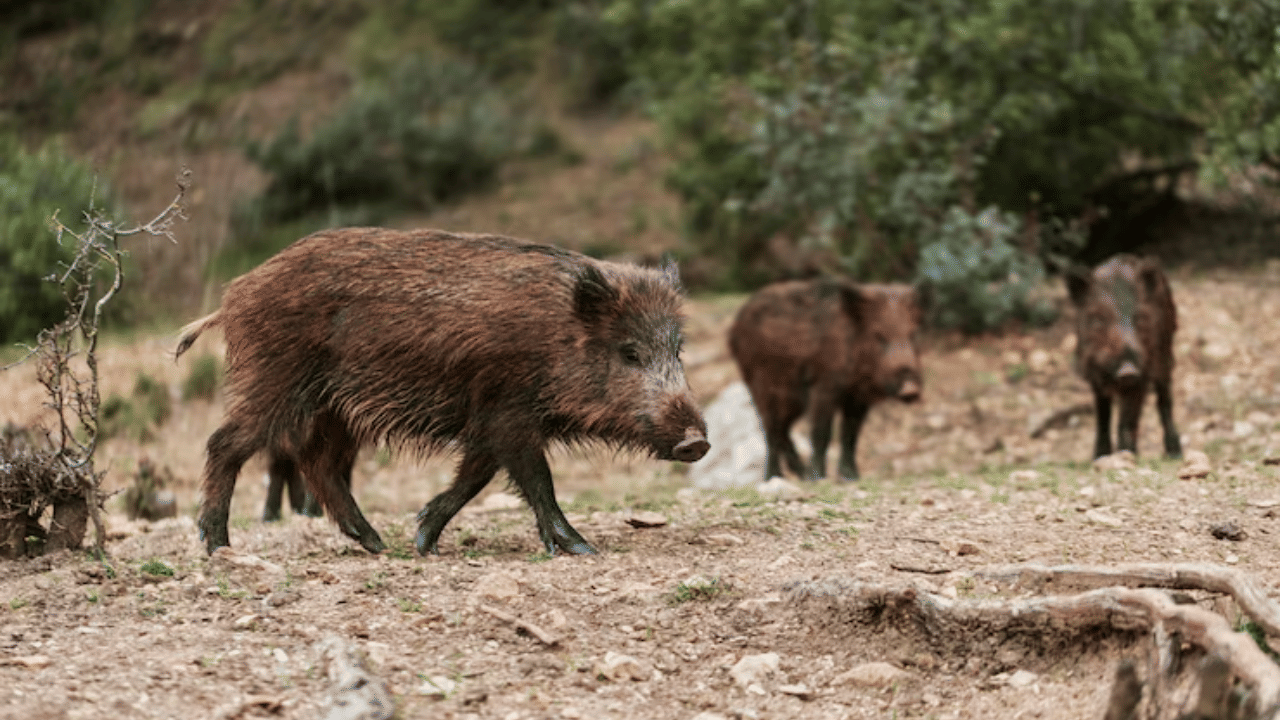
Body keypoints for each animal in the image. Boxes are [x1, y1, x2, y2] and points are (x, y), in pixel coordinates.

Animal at [175, 227, 709, 556]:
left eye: (677, 350)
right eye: (630, 353)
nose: (697, 441)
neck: (551, 340)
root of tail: (234, 296)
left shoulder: (490, 422)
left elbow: (476, 476)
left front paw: (423, 540)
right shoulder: (508, 413)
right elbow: (536, 480)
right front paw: (582, 548)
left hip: (334, 410)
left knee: (319, 464)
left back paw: (377, 544)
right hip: (275, 382)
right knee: (224, 444)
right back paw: (218, 545)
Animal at [728, 279, 923, 482]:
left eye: (913, 334)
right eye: (878, 336)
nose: (911, 388)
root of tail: (734, 326)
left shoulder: (857, 397)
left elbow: (850, 435)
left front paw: (852, 478)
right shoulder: (824, 387)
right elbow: (822, 433)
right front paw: (818, 478)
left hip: (793, 400)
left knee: (781, 428)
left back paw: (799, 475)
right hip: (761, 386)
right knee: (769, 428)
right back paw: (775, 477)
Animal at [1066, 254, 1182, 459]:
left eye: (1140, 318)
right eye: (1099, 320)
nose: (1128, 370)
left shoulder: (1143, 373)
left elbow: (1126, 417)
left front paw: (1125, 455)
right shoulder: (1094, 376)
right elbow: (1103, 415)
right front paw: (1100, 456)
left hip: (1166, 351)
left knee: (1164, 399)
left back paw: (1174, 453)